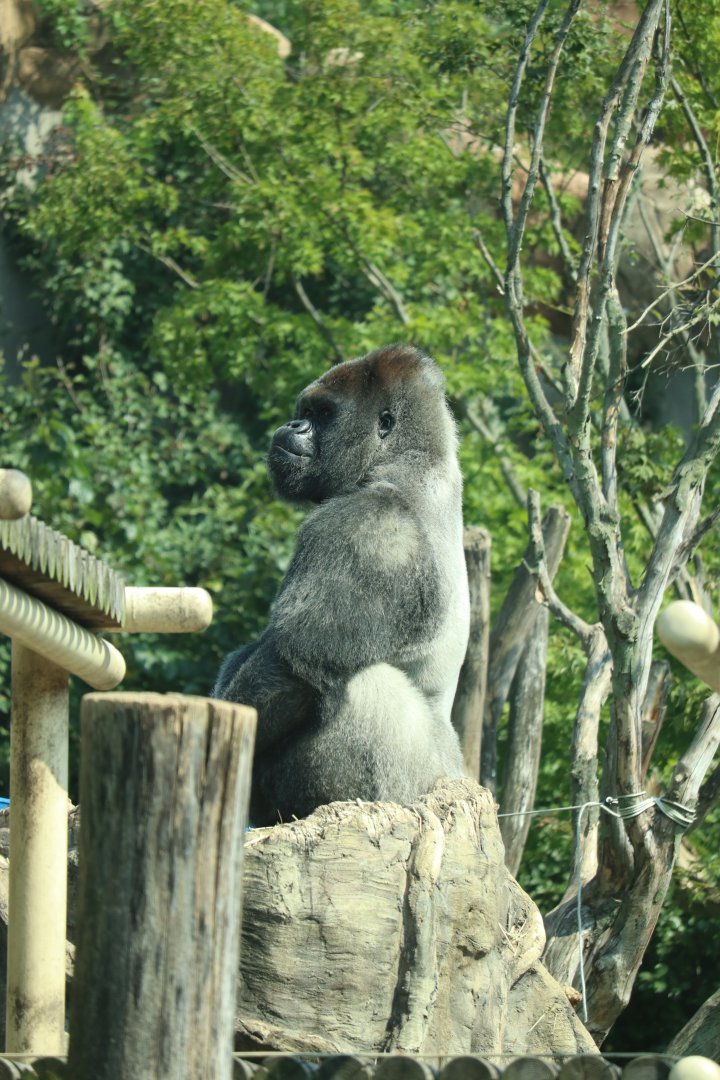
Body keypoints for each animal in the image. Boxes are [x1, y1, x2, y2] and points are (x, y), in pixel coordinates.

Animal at [213, 345, 470, 826]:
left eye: (323, 414)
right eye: (305, 413)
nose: (293, 426)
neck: (409, 459)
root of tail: (455, 776)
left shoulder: (366, 527)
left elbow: (295, 662)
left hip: (403, 790)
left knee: (360, 683)